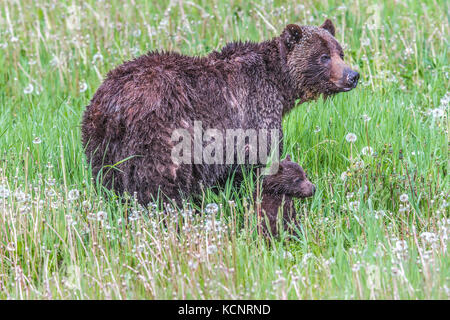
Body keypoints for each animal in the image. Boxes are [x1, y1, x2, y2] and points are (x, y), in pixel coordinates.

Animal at [81, 19, 358, 205]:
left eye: (340, 52)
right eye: (323, 56)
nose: (352, 76)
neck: (280, 85)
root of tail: (114, 103)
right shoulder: (252, 114)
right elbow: (251, 162)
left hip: (100, 140)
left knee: (108, 178)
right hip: (161, 132)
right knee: (161, 180)